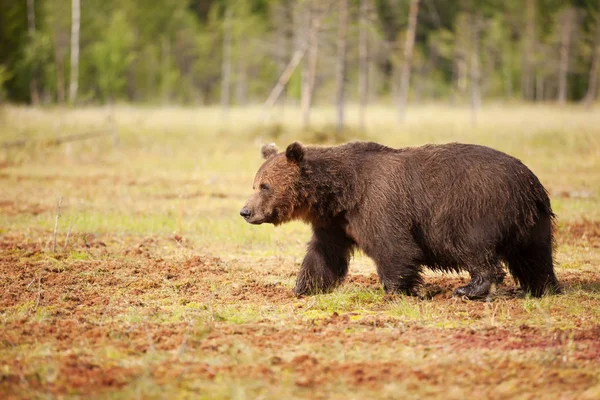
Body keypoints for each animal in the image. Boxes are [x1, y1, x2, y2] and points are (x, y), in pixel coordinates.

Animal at [239, 142, 556, 298]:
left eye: (265, 186)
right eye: (255, 184)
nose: (245, 212)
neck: (341, 192)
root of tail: (529, 182)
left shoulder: (380, 205)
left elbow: (394, 247)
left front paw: (396, 290)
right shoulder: (336, 223)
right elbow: (324, 255)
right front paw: (303, 287)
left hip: (474, 208)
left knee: (474, 248)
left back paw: (469, 289)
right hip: (532, 222)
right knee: (535, 256)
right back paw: (542, 287)